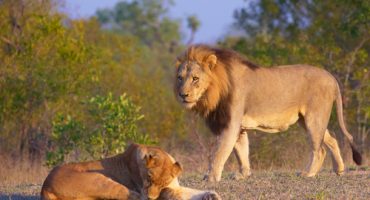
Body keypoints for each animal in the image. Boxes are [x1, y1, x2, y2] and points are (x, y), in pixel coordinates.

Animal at [175, 44, 362, 182]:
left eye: (195, 78)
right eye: (180, 78)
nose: (182, 95)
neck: (213, 93)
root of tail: (332, 78)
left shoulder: (230, 125)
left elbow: (219, 153)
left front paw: (210, 178)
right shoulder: (238, 127)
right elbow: (241, 152)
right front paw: (243, 175)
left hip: (314, 118)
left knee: (320, 149)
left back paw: (308, 173)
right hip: (307, 120)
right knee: (332, 139)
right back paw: (339, 169)